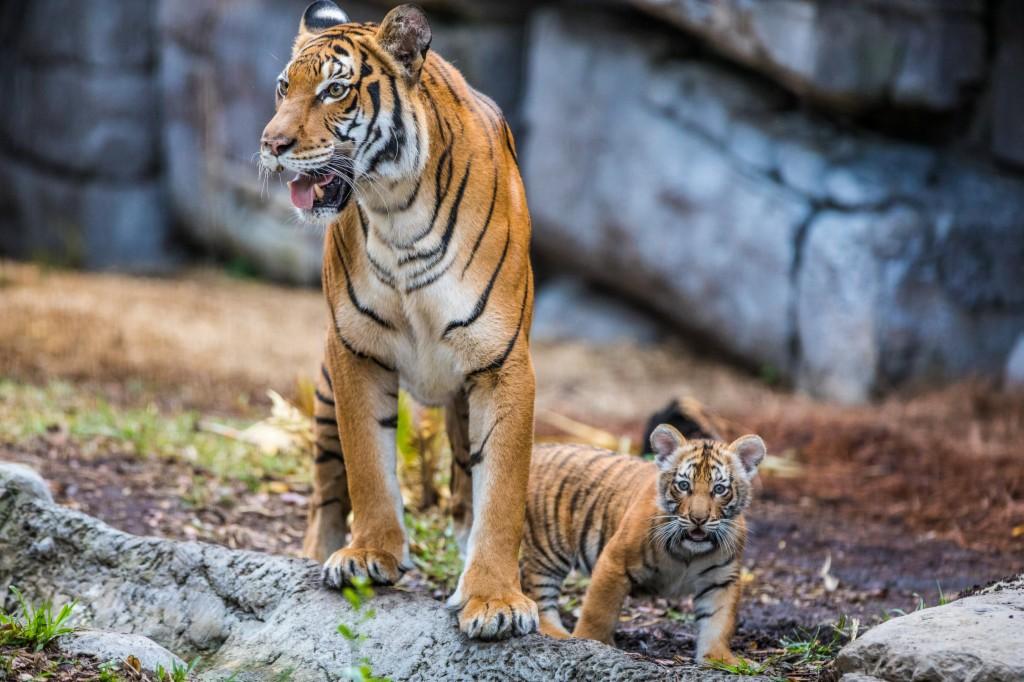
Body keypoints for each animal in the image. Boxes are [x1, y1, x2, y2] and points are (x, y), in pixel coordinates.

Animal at [260, 1, 540, 638]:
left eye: (335, 90)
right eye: (285, 88)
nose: (271, 143)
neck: (397, 210)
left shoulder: (503, 363)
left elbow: (503, 492)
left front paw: (495, 600)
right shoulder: (354, 350)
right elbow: (367, 465)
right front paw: (370, 555)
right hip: (321, 389)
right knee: (327, 484)